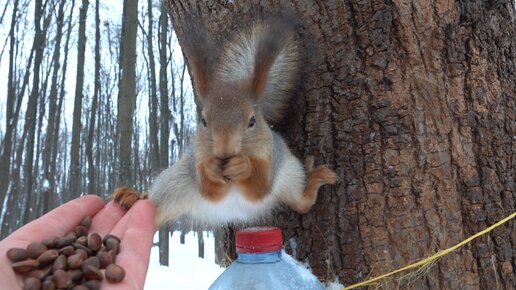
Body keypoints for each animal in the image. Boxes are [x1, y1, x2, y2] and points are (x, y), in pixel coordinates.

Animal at [113, 14, 336, 229]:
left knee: (301, 203)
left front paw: (243, 165)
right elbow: (208, 189)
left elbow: (259, 187)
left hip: (291, 174)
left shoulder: (271, 155)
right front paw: (211, 166)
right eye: (203, 120)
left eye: (252, 121)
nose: (224, 151)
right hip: (173, 184)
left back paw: (314, 178)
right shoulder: (197, 157)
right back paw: (132, 198)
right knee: (157, 208)